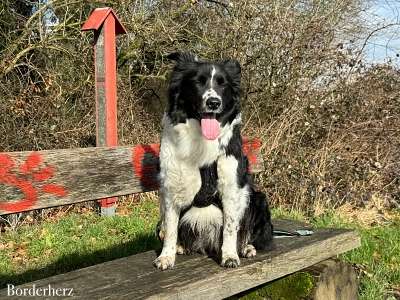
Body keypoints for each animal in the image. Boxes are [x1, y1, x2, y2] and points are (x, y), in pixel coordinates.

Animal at [153, 51, 272, 270]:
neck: (201, 139)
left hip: (258, 199)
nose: (214, 103)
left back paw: (246, 247)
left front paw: (230, 255)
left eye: (222, 84)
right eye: (197, 82)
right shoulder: (171, 187)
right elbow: (171, 228)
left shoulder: (231, 186)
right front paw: (167, 256)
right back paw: (181, 246)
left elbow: (230, 227)